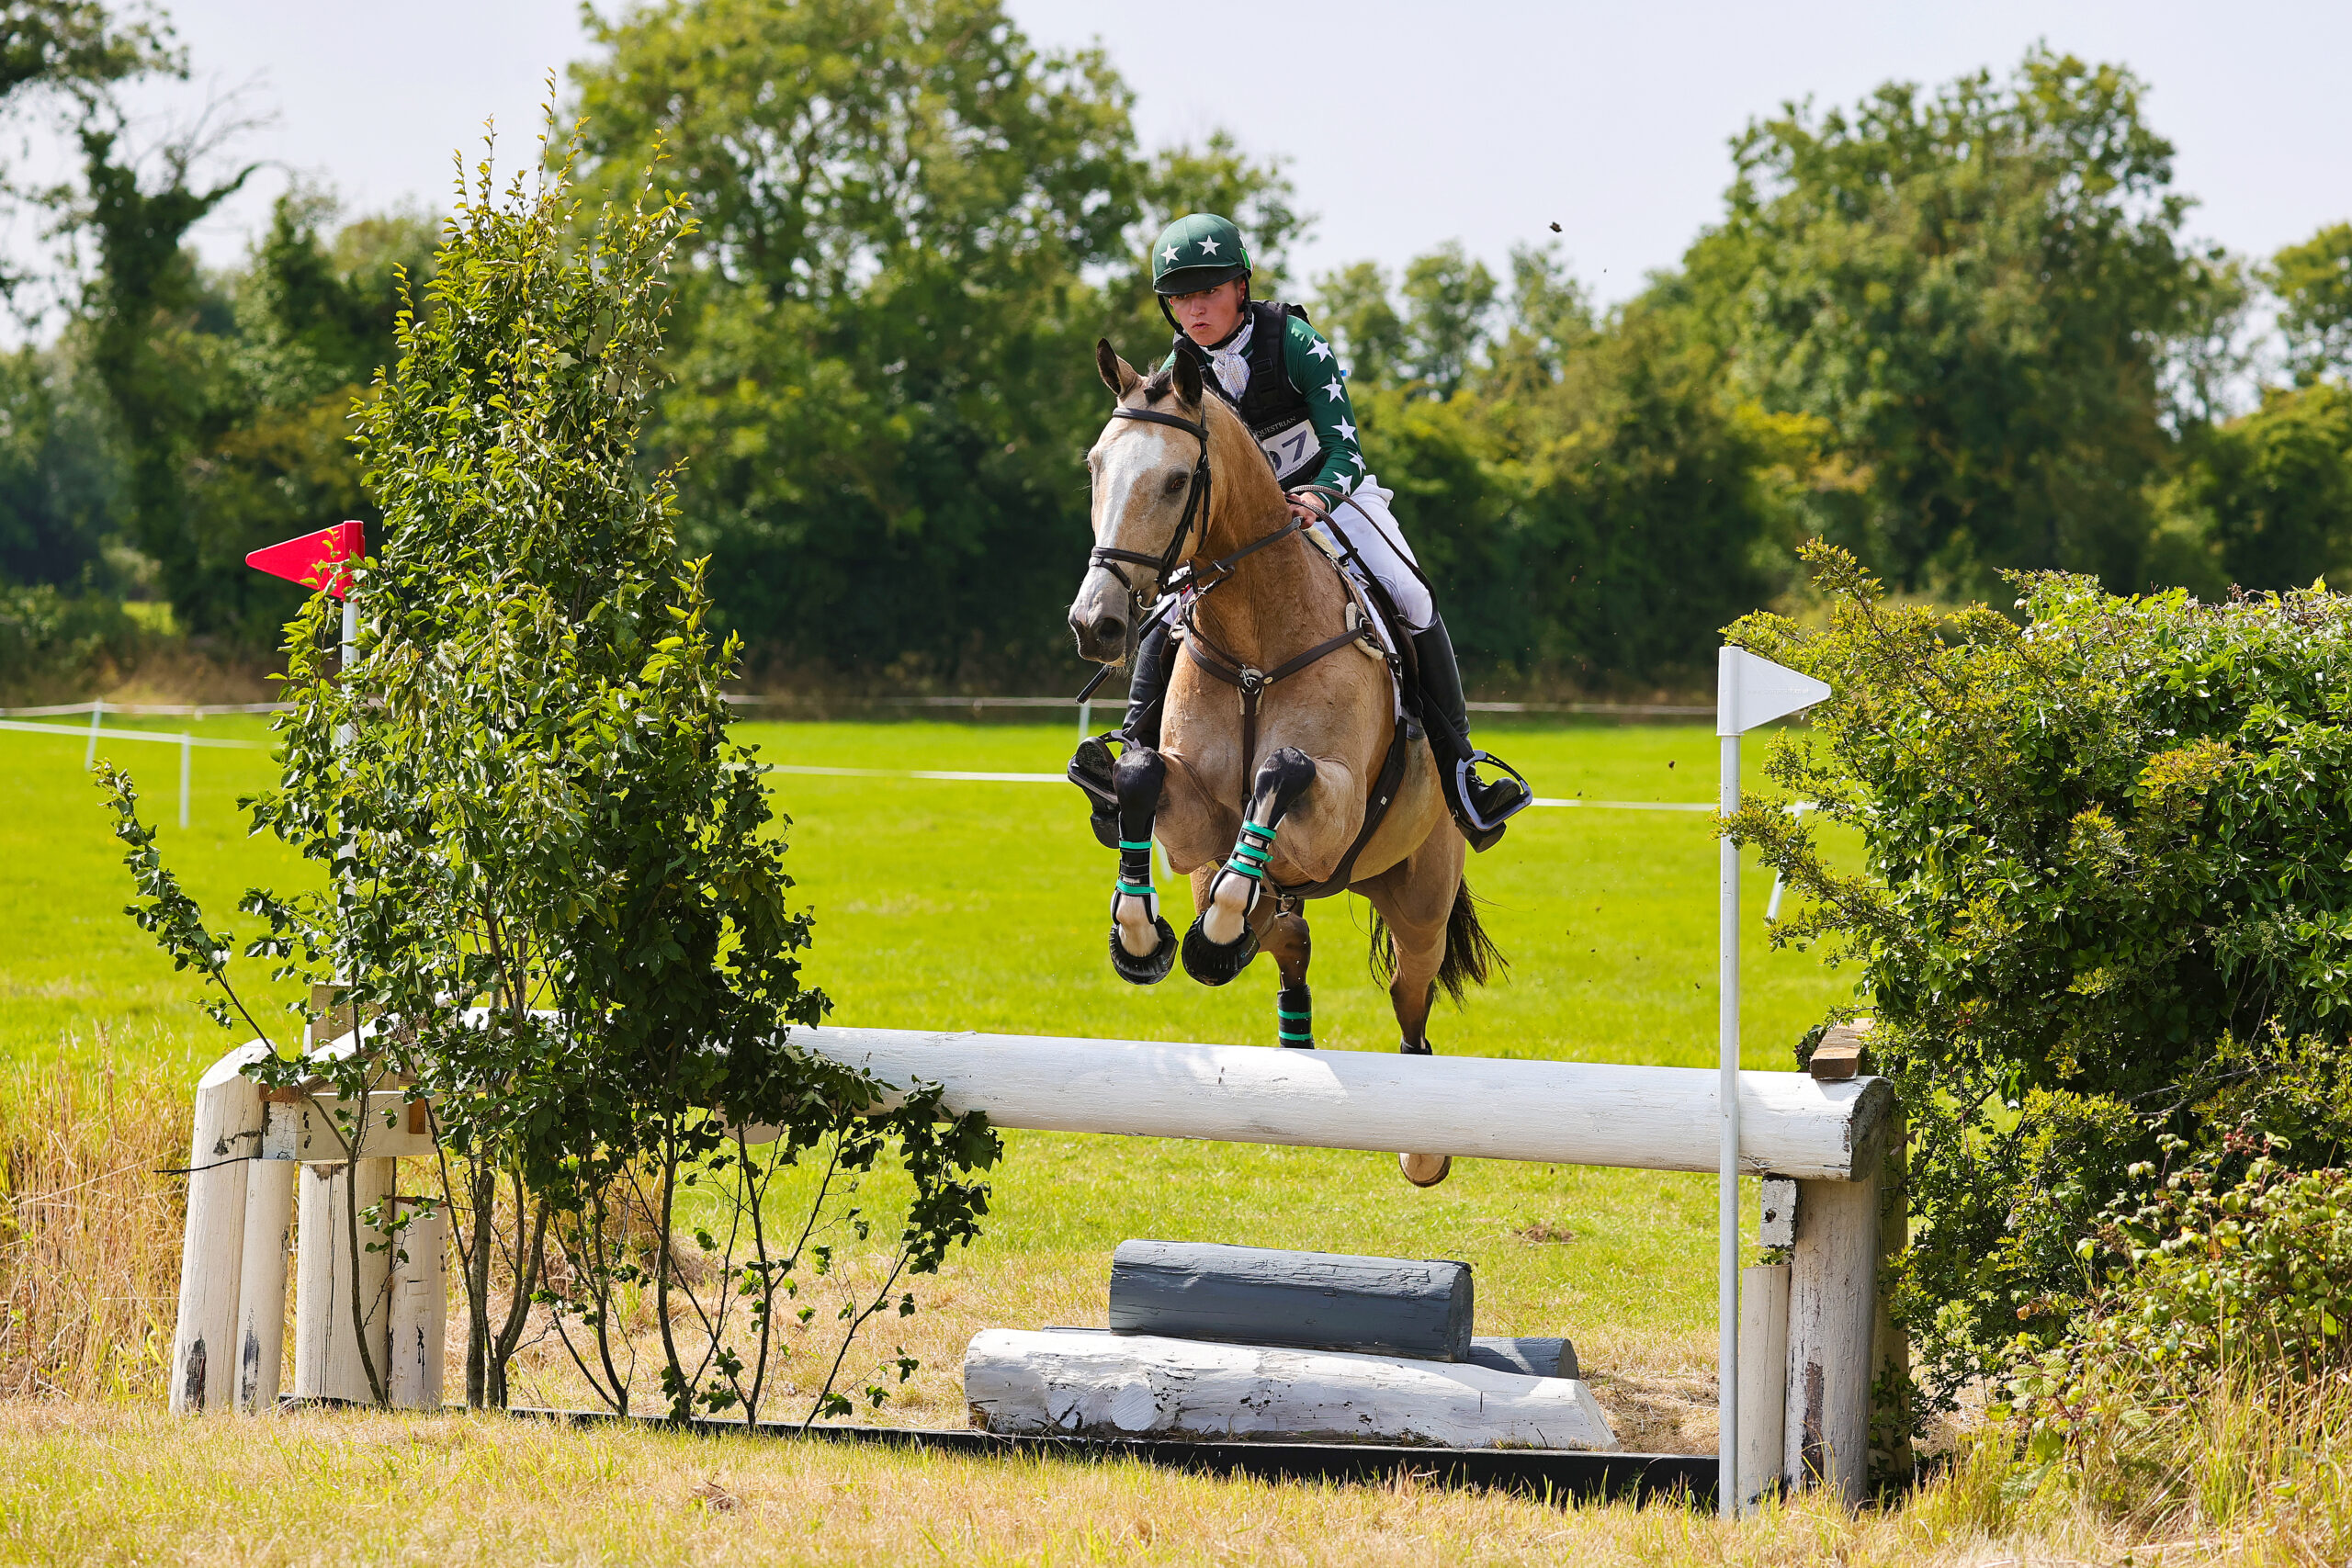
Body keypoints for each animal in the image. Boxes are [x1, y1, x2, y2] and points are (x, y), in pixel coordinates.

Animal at [1066, 339, 1502, 1188]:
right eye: (1097, 467)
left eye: (1177, 479)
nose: (1094, 624)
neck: (1255, 640)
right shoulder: (1195, 829)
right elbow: (1142, 777)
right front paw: (1142, 937)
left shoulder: (1333, 810)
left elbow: (1286, 768)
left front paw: (1206, 928)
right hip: (1275, 889)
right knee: (1286, 941)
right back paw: (1275, 1013)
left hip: (1419, 897)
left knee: (1410, 995)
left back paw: (1423, 1145)